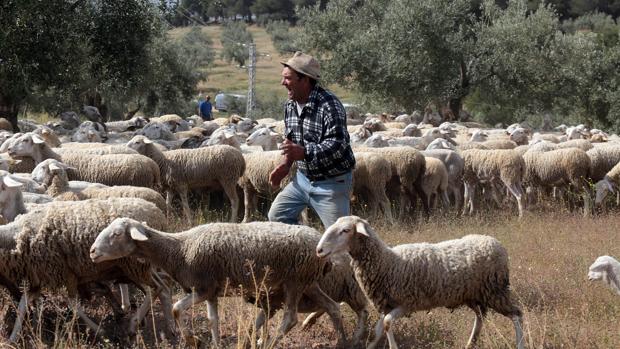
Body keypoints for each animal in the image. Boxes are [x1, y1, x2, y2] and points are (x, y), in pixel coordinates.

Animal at [2, 197, 173, 342]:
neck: (16, 238)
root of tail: (156, 211)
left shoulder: (66, 273)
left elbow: (73, 304)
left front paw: (100, 332)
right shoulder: (39, 277)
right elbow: (23, 303)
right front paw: (12, 339)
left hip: (135, 265)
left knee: (156, 288)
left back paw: (139, 326)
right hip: (138, 267)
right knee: (162, 286)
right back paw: (165, 326)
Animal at [88, 219, 348, 346]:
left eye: (116, 234)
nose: (92, 252)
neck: (179, 249)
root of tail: (320, 244)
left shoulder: (203, 288)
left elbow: (175, 308)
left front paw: (192, 340)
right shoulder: (211, 291)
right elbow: (213, 319)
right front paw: (214, 342)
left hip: (294, 281)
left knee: (291, 318)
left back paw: (268, 342)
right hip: (308, 282)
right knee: (333, 307)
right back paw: (345, 341)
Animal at [314, 215, 524, 348]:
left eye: (345, 230)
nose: (319, 250)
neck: (387, 262)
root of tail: (495, 242)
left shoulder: (406, 303)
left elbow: (388, 324)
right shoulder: (389, 305)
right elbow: (378, 329)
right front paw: (370, 345)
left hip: (496, 291)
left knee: (517, 315)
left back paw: (519, 344)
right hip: (473, 295)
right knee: (480, 318)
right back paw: (469, 343)